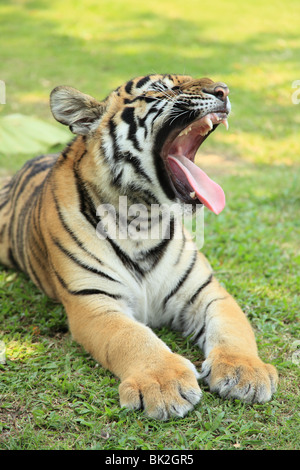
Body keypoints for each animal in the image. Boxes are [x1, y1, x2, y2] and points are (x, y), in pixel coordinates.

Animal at [0, 73, 278, 418]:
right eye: (160, 90)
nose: (223, 90)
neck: (143, 220)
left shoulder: (207, 292)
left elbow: (233, 330)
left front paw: (245, 372)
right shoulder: (94, 301)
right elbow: (133, 337)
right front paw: (163, 383)